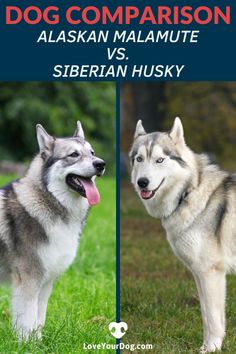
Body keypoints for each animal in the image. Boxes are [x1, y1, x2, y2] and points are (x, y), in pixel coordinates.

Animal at [0, 121, 105, 340]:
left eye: (92, 153)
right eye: (73, 154)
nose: (101, 164)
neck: (49, 200)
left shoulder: (45, 283)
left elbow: (39, 320)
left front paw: (38, 343)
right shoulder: (29, 281)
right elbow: (27, 321)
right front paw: (26, 344)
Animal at [129, 117, 236, 352]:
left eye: (160, 160)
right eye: (139, 159)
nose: (142, 182)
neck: (188, 193)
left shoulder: (211, 272)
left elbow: (213, 318)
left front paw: (211, 348)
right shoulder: (200, 274)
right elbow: (206, 315)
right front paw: (207, 346)